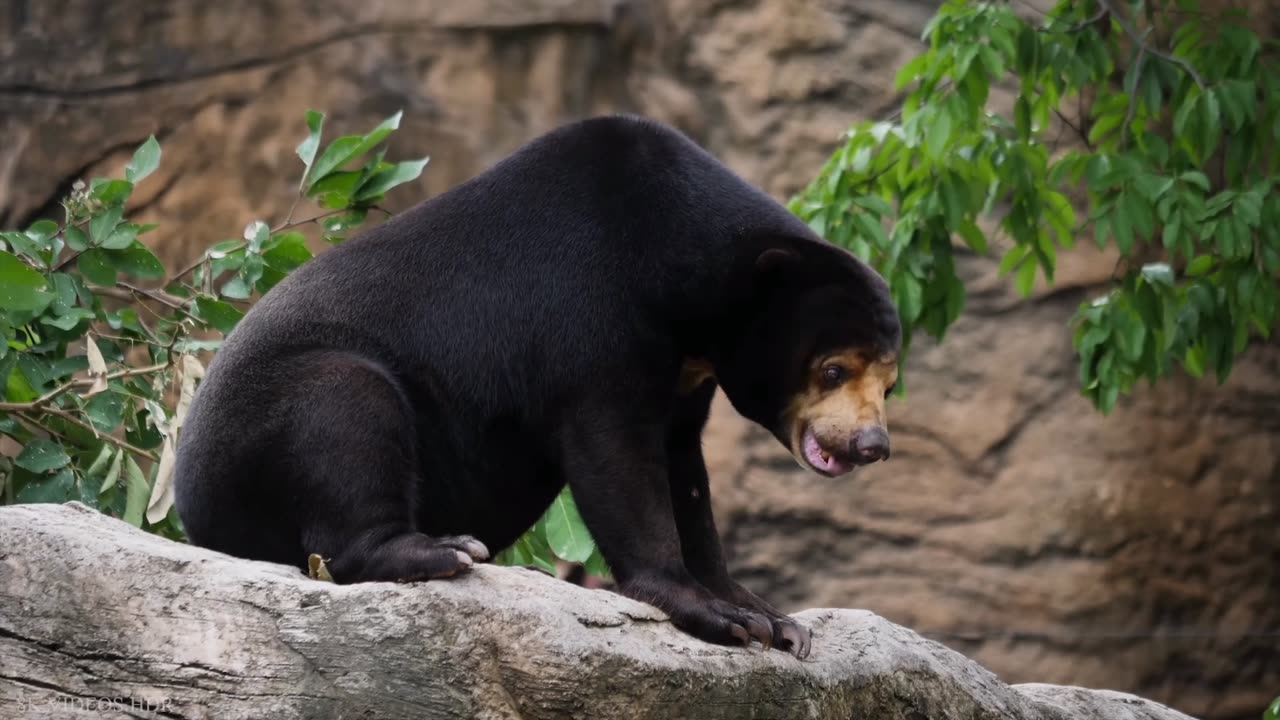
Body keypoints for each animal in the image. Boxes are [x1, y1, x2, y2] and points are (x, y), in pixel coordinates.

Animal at [172, 114, 901, 661]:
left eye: (888, 383)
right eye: (833, 369)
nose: (872, 445)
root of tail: (191, 507)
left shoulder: (688, 372)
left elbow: (684, 474)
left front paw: (772, 618)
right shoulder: (587, 316)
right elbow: (616, 456)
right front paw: (717, 615)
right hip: (282, 406)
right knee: (347, 421)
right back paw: (444, 549)